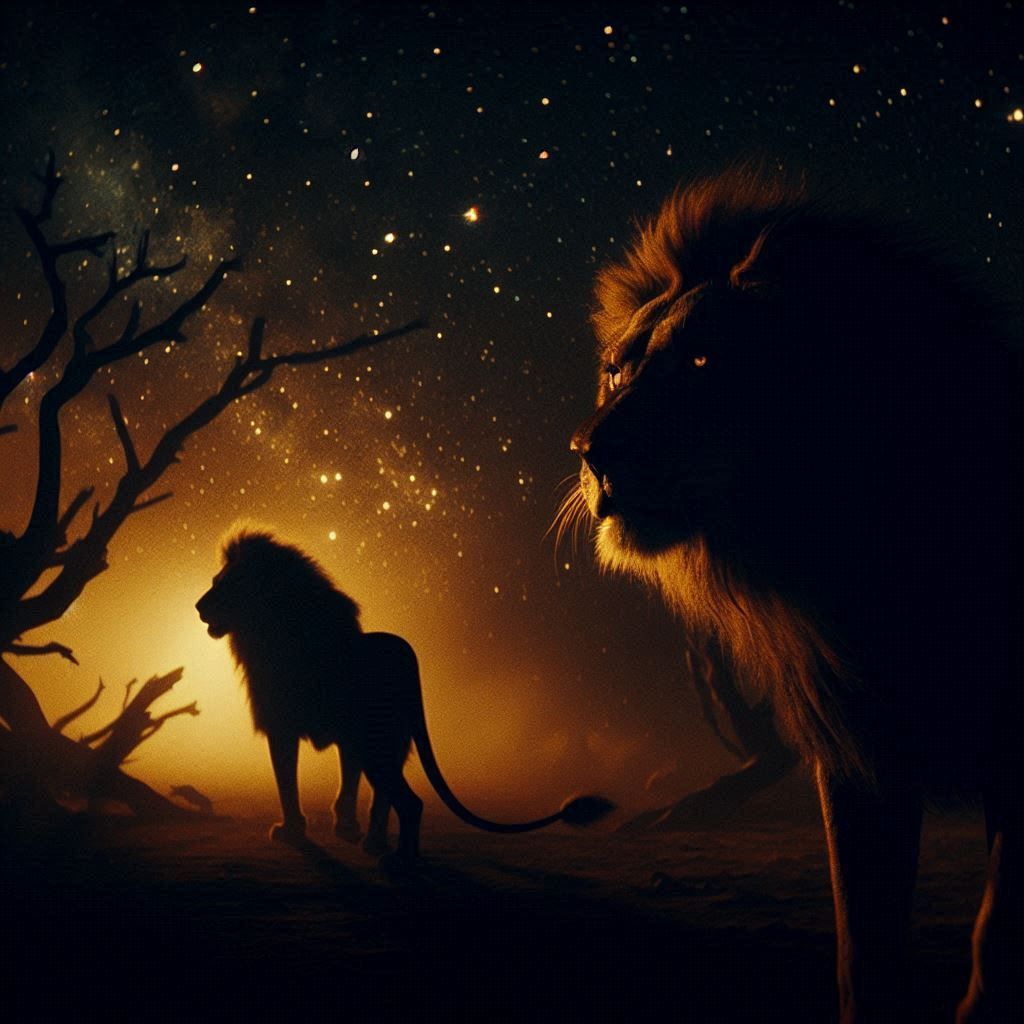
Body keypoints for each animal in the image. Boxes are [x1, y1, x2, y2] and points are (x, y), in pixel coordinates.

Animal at [195, 529, 612, 864]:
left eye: (224, 585)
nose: (198, 607)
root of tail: (408, 656)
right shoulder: (346, 740)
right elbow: (347, 783)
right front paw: (346, 827)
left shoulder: (282, 728)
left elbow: (287, 784)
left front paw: (292, 831)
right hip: (389, 741)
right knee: (388, 798)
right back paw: (378, 844)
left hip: (378, 745)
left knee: (411, 802)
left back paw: (400, 861)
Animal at [567, 170, 1020, 1023]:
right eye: (618, 370)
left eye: (703, 361)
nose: (589, 452)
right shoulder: (860, 753)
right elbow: (862, 950)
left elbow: (995, 937)